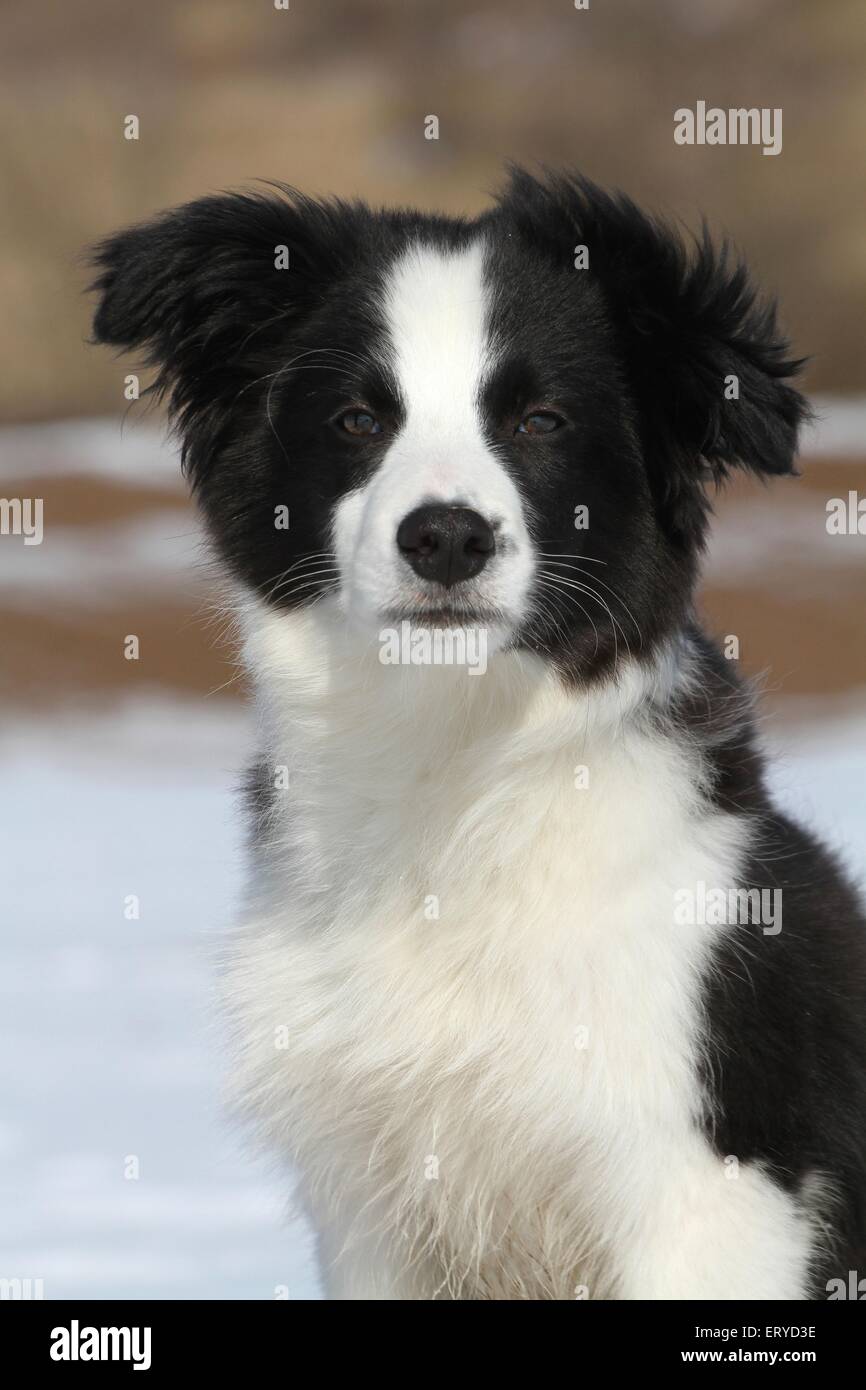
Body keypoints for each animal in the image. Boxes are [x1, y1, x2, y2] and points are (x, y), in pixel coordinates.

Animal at [89, 168, 866, 1295]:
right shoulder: (371, 1208)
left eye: (541, 420)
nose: (446, 537)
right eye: (357, 418)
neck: (455, 771)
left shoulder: (708, 1191)